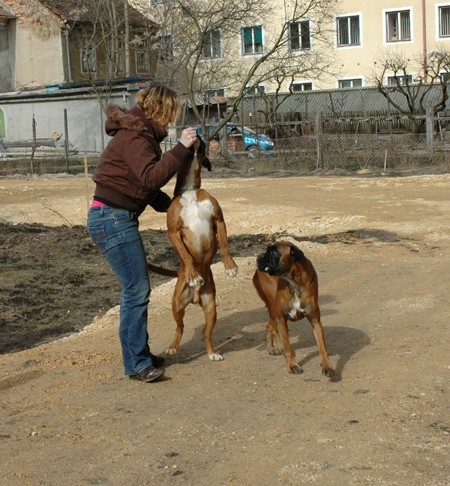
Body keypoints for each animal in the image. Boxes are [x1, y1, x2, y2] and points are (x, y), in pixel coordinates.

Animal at [149, 137, 239, 360]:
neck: (189, 189)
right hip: (176, 305)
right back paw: (172, 347)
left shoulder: (219, 219)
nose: (197, 133)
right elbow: (185, 255)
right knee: (179, 328)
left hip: (211, 308)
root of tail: (196, 297)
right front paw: (193, 274)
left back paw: (212, 353)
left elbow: (225, 245)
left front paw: (230, 267)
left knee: (207, 334)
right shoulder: (173, 232)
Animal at [253, 242, 334, 376]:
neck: (294, 282)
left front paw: (327, 366)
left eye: (274, 252)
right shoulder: (281, 318)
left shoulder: (315, 321)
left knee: (269, 325)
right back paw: (278, 347)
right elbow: (286, 344)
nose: (259, 257)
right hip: (273, 307)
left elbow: (322, 346)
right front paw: (292, 365)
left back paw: (272, 347)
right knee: (273, 328)